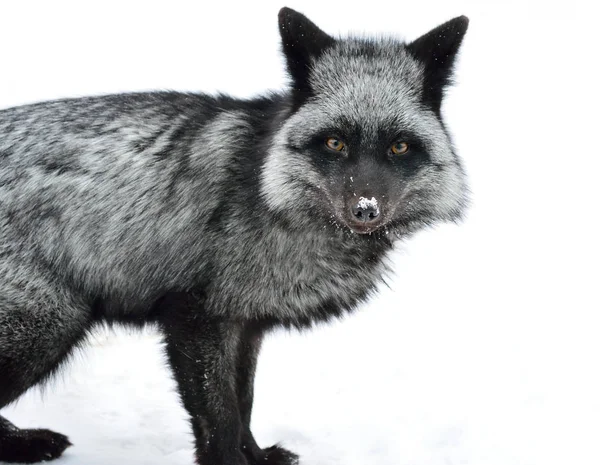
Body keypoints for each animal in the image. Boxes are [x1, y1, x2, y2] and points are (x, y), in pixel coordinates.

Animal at [0, 7, 468, 464]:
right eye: (335, 143)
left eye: (399, 147)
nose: (365, 209)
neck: (266, 193)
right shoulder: (195, 316)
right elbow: (219, 418)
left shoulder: (245, 321)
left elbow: (243, 402)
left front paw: (257, 457)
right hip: (48, 325)